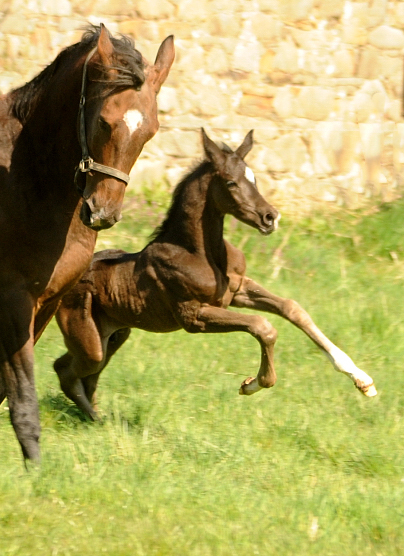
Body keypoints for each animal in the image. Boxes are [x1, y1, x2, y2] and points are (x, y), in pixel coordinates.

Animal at [53, 129, 376, 416]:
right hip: (90, 341)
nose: (270, 217)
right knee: (67, 371)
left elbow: (292, 308)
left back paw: (97, 417)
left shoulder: (238, 290)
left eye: (254, 178)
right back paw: (96, 419)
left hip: (115, 334)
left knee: (80, 373)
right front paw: (252, 384)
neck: (199, 252)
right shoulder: (194, 315)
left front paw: (362, 379)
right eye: (231, 183)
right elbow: (262, 326)